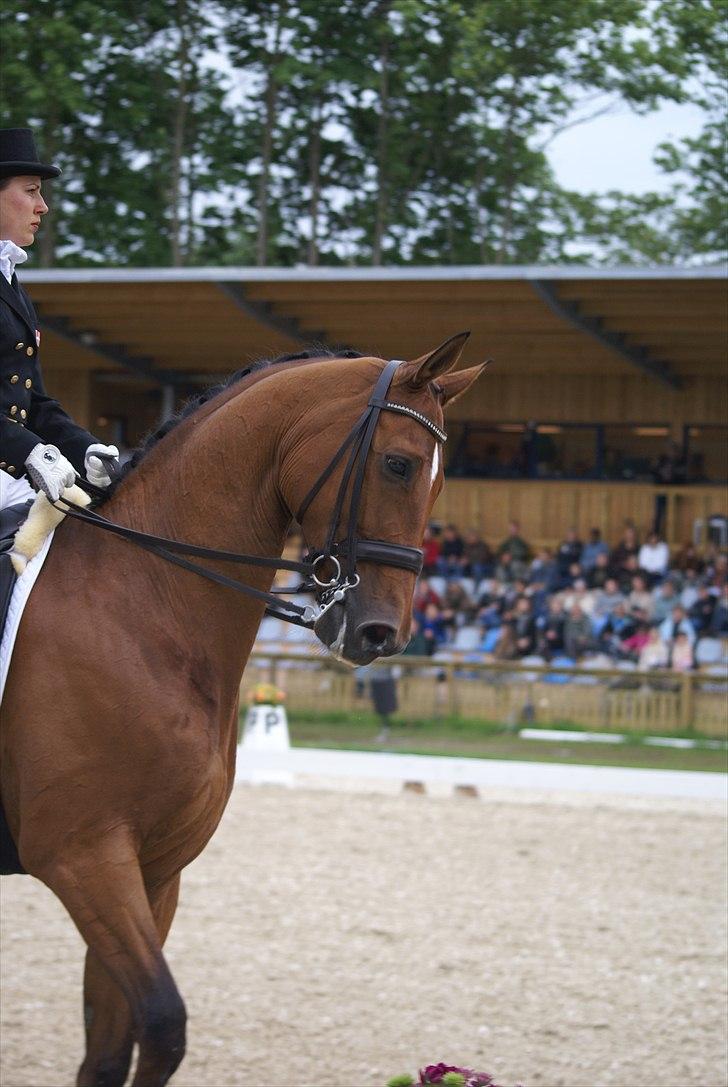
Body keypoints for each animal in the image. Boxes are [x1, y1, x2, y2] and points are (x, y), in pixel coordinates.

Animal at [2, 332, 486, 1087]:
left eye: (437, 483)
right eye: (399, 464)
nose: (382, 634)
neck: (137, 605)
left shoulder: (153, 870)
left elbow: (115, 1046)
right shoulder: (81, 856)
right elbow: (164, 1024)